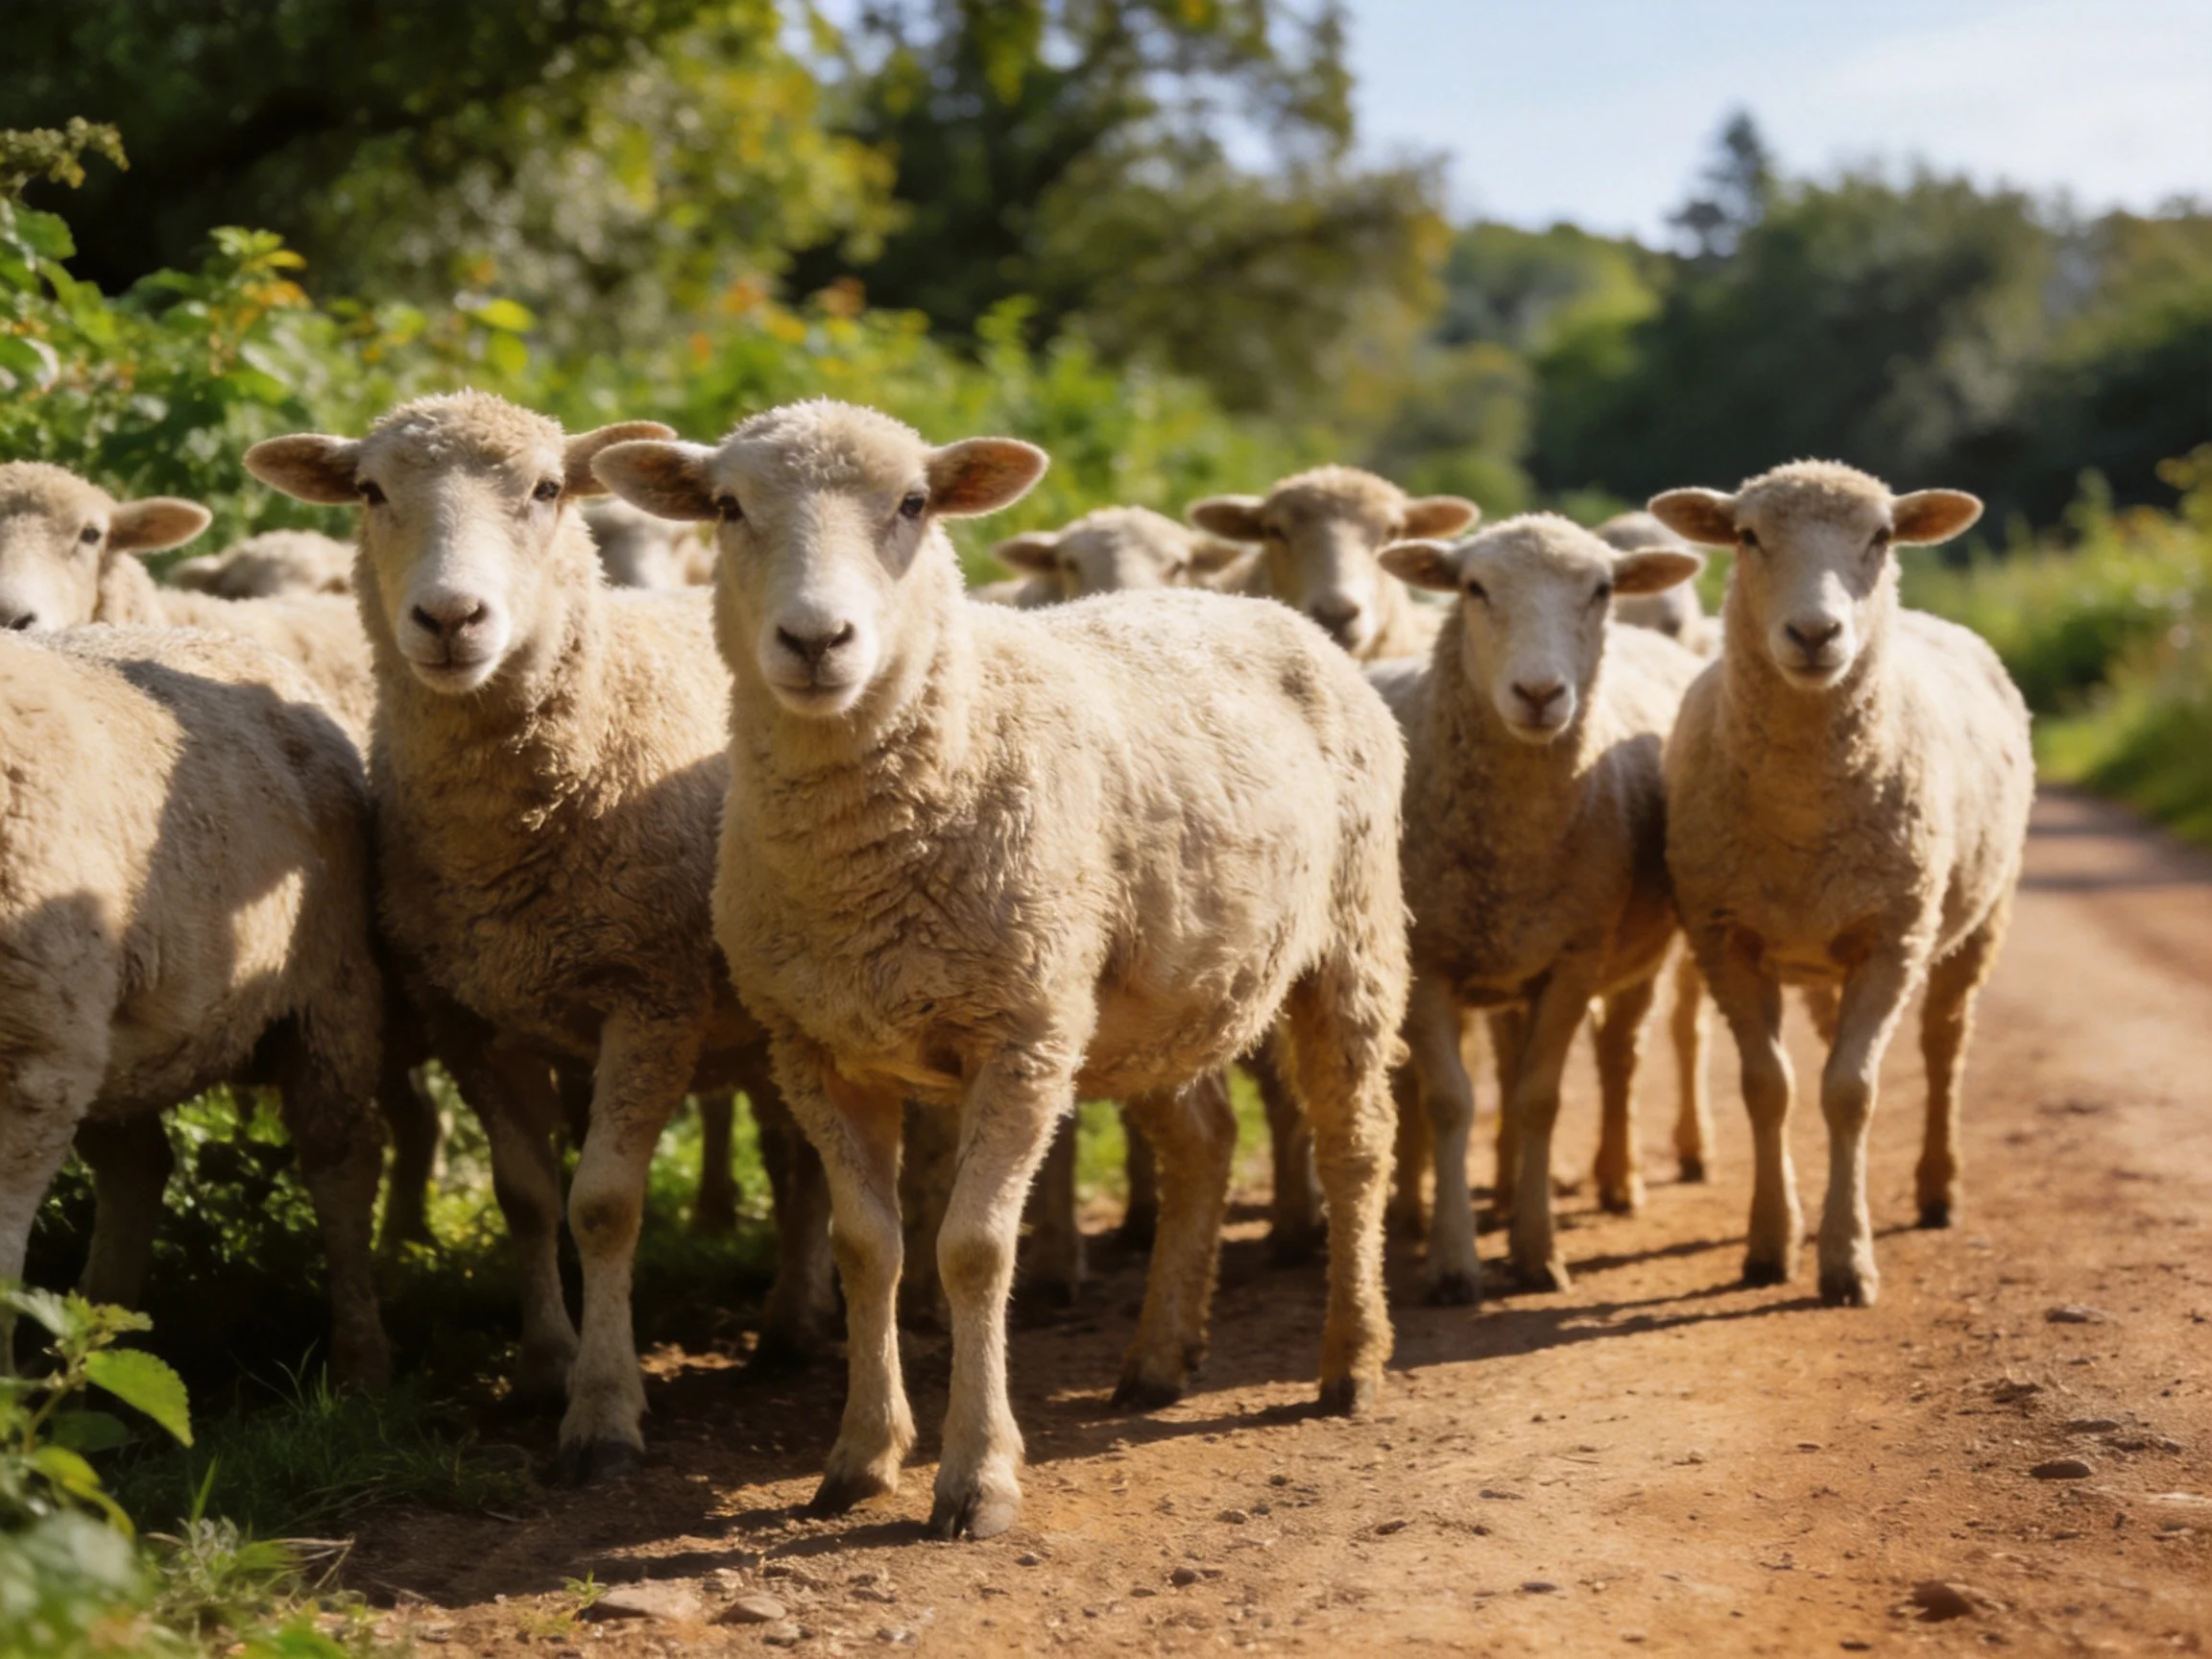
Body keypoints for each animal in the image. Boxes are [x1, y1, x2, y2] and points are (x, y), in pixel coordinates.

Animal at [0, 625, 388, 1386]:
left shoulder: (30, 1064)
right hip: (109, 1047)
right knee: (139, 1169)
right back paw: (88, 1355)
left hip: (332, 993)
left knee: (342, 1162)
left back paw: (360, 1364)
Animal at [244, 391, 836, 1481]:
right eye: (371, 491)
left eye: (549, 489)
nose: (449, 619)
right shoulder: (472, 1019)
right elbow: (525, 1194)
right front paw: (542, 1369)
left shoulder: (652, 1001)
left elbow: (601, 1205)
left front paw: (603, 1411)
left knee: (809, 1158)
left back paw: (794, 1324)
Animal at [594, 398, 1410, 1540]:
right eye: (726, 506)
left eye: (913, 504)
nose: (816, 640)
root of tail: (1269, 610)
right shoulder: (817, 1047)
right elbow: (868, 1247)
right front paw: (860, 1456)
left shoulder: (1019, 1035)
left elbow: (974, 1249)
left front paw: (975, 1477)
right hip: (1149, 998)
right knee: (1203, 1142)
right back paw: (1158, 1359)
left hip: (1351, 937)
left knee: (1356, 1146)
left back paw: (1352, 1362)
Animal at [1374, 514, 1705, 1298]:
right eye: (1473, 587)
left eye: (1603, 589)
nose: (1538, 692)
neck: (1512, 850)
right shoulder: (1428, 960)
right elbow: (1449, 1100)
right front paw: (1453, 1260)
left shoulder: (1574, 958)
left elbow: (1538, 1098)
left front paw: (1536, 1252)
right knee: (1433, 1079)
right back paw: (1429, 1207)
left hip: (1623, 956)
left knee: (1619, 1055)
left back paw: (1616, 1181)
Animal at [1649, 460, 2033, 1306]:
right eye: (1748, 537)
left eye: (1881, 537)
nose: (1815, 635)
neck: (1802, 812)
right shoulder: (1725, 935)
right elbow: (1771, 1087)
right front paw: (1770, 1242)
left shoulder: (1895, 935)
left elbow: (1851, 1092)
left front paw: (1847, 1260)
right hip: (1831, 944)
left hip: (1979, 916)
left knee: (1943, 1044)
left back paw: (1938, 1189)